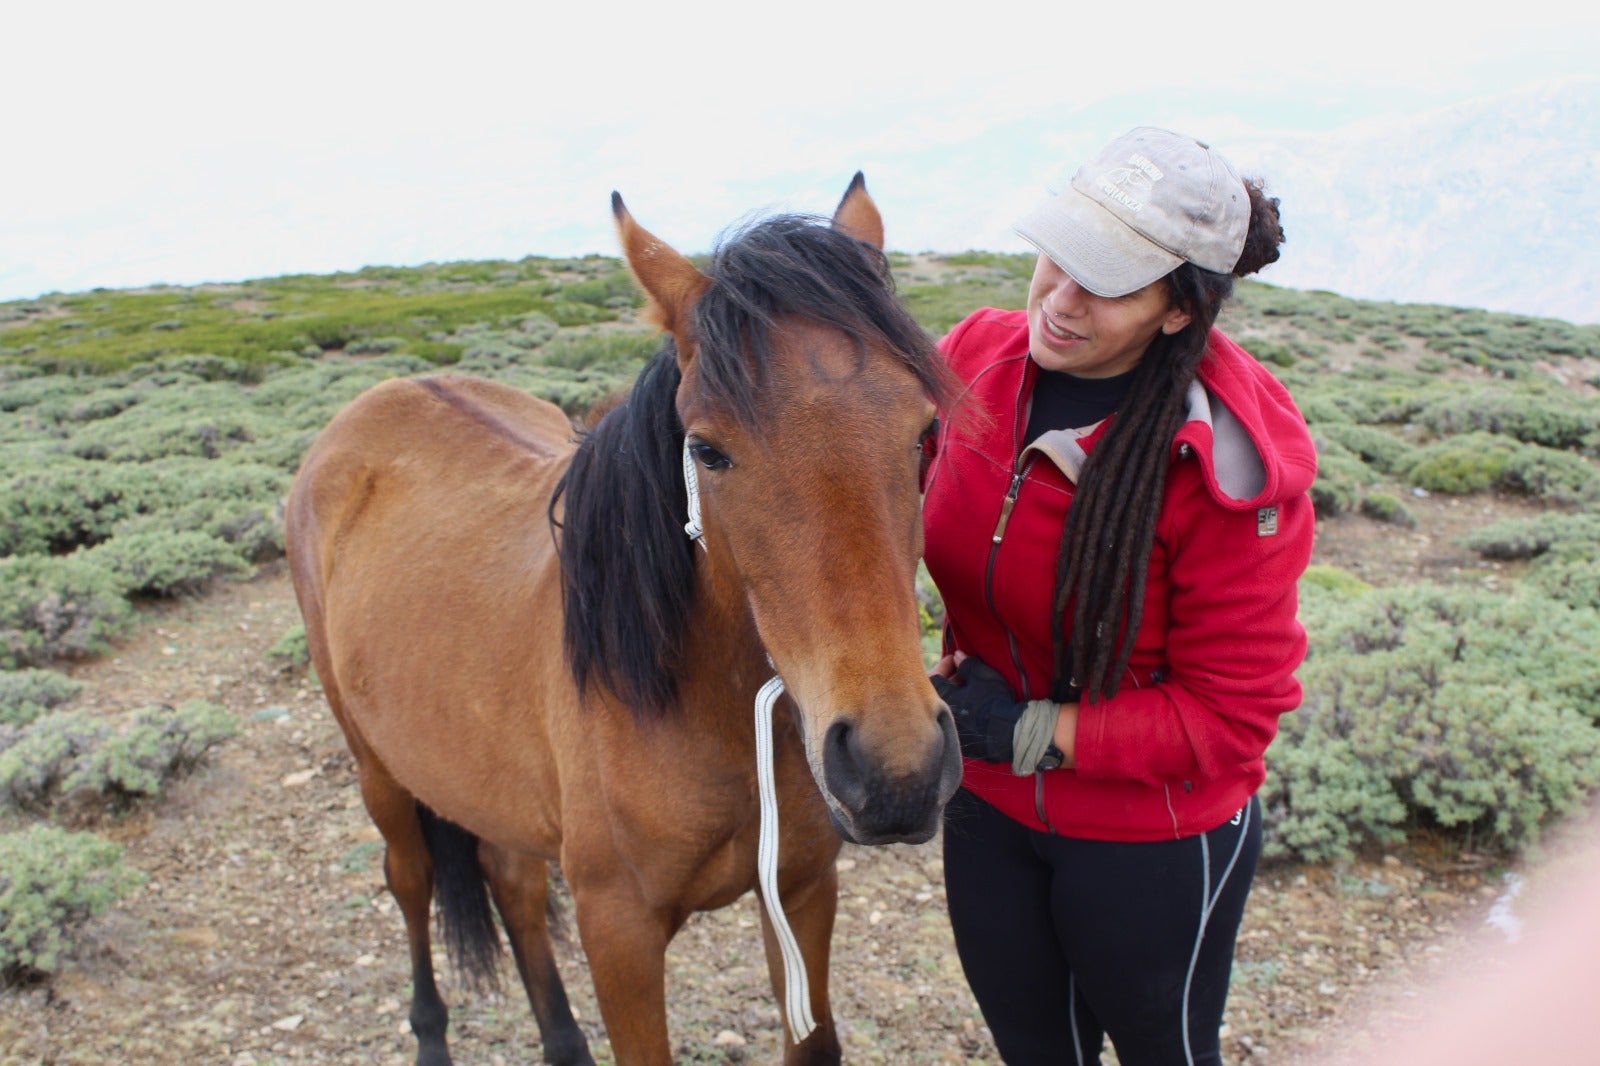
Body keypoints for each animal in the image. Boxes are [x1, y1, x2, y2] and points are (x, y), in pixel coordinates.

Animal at [283, 175, 963, 1066]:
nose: (896, 770)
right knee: (410, 879)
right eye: (706, 449)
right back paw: (430, 1035)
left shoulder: (802, 890)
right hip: (380, 770)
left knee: (513, 883)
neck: (699, 706)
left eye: (925, 432)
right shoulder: (620, 935)